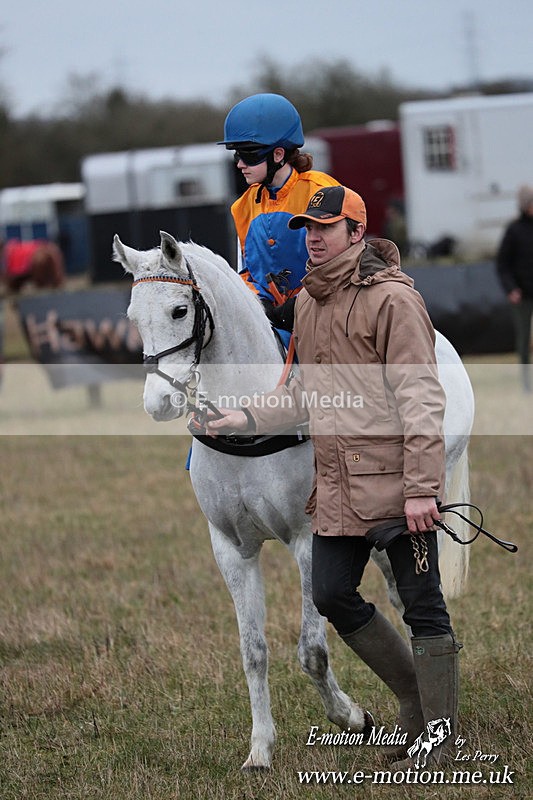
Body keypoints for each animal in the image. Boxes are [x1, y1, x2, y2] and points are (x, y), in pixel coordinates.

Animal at [113, 231, 475, 770]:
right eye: (134, 315)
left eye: (179, 310)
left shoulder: (309, 540)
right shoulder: (231, 548)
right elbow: (252, 650)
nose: (159, 401)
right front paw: (260, 747)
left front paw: (350, 716)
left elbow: (312, 650)